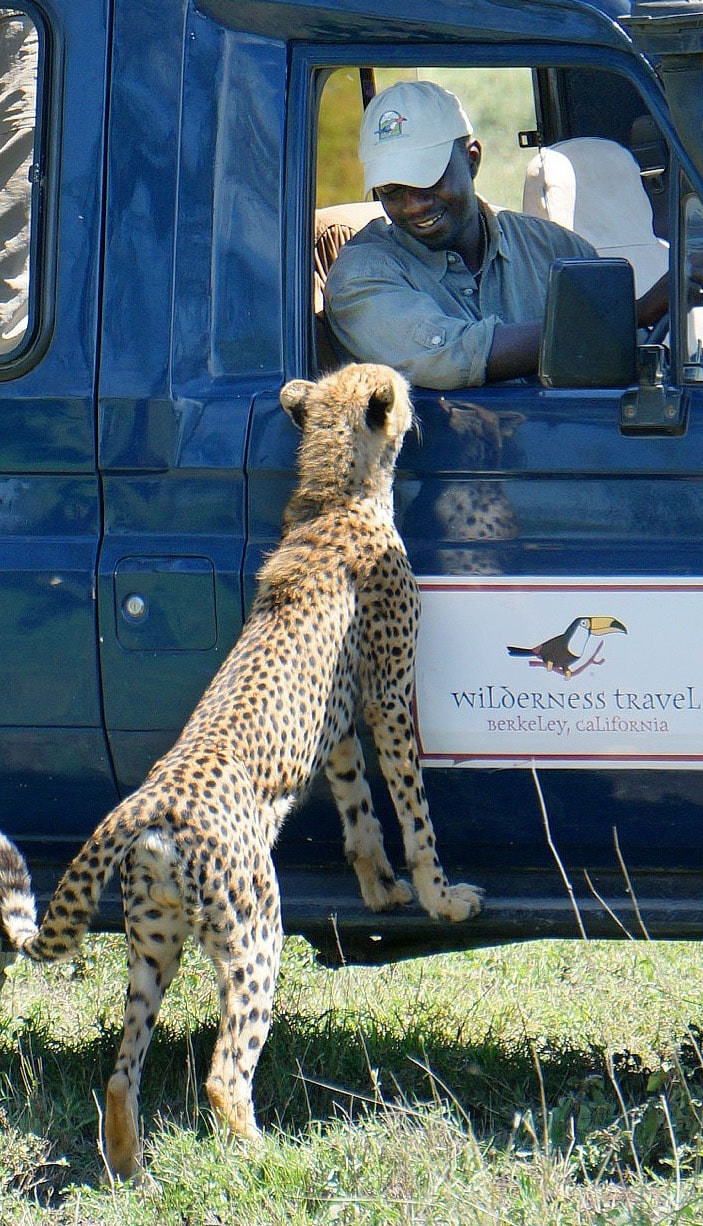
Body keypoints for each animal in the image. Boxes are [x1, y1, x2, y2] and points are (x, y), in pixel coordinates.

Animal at [0, 360, 480, 1176]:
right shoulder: (386, 696)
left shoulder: (337, 724)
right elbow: (412, 812)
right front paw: (439, 898)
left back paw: (131, 1172)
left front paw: (379, 890)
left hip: (152, 939)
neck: (334, 495)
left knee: (122, 1067)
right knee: (225, 1070)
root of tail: (151, 802)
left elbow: (358, 810)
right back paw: (269, 1157)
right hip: (254, 925)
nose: (419, 402)